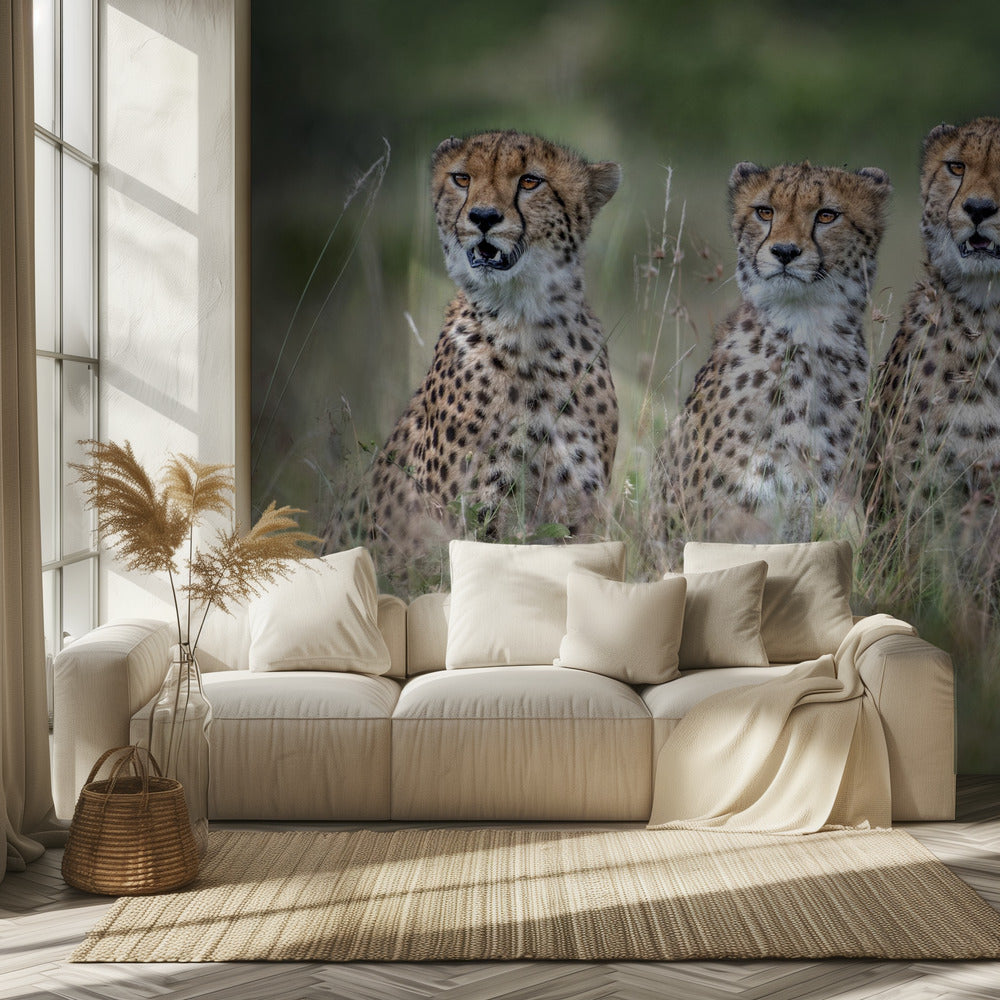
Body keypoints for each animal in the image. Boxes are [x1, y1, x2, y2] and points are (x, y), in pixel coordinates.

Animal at [326, 131, 621, 575]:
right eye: (462, 178)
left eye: (530, 181)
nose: (483, 217)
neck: (526, 325)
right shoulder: (473, 518)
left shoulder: (578, 511)